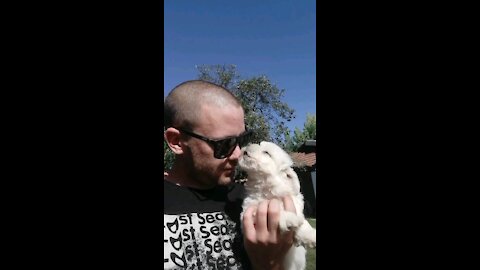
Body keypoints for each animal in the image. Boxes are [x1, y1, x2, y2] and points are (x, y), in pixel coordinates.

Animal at [239, 141, 316, 270]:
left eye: (266, 152)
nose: (248, 146)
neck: (269, 191)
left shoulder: (295, 203)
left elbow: (303, 222)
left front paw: (311, 236)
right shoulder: (249, 210)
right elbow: (280, 213)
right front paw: (290, 219)